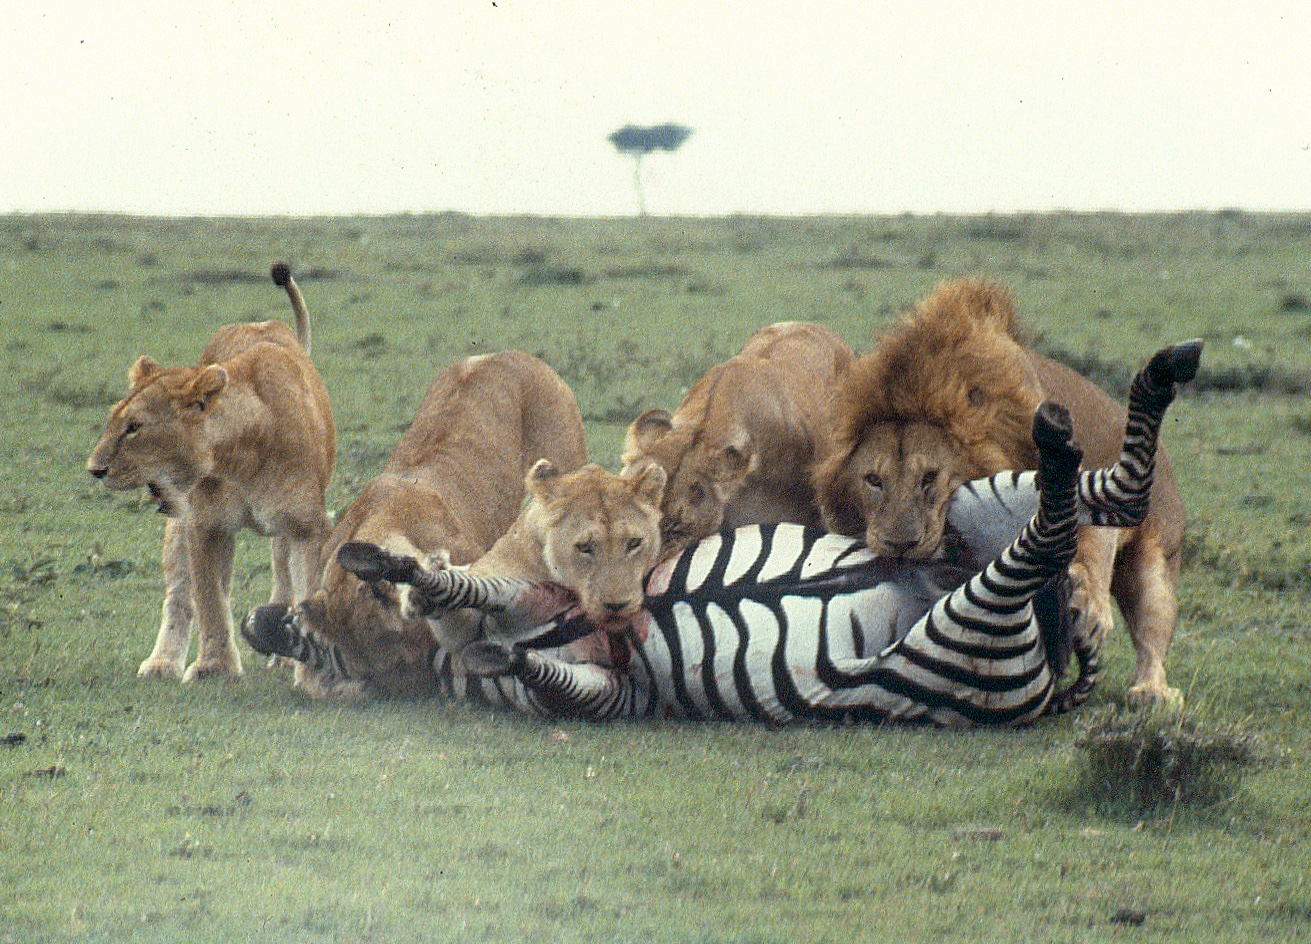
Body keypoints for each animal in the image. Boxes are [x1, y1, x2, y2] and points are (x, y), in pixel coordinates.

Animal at [87, 262, 335, 682]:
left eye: (134, 427)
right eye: (114, 421)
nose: (95, 470)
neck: (239, 458)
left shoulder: (308, 526)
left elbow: (307, 593)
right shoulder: (203, 525)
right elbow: (209, 601)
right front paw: (215, 666)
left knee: (283, 575)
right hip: (178, 525)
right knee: (178, 595)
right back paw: (162, 662)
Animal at [813, 278, 1187, 706]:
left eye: (930, 477)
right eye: (873, 481)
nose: (900, 544)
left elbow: (1092, 543)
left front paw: (1087, 608)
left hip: (1158, 561)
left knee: (1152, 635)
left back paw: (1151, 691)